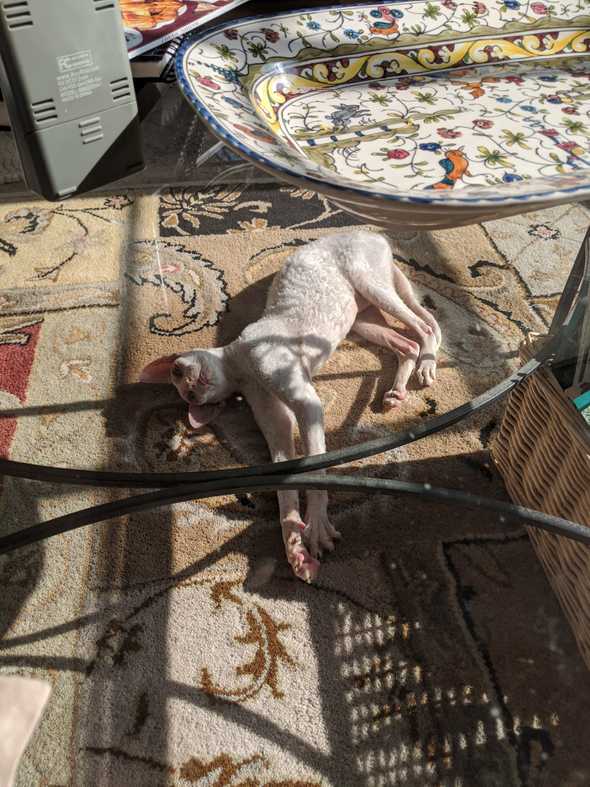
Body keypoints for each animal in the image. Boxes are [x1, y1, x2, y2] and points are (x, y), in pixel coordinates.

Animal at [141, 231, 442, 580]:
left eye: (177, 372)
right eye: (189, 399)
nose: (192, 392)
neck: (242, 369)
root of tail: (368, 233)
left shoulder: (307, 403)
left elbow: (314, 470)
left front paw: (316, 527)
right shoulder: (278, 424)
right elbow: (286, 484)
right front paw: (295, 548)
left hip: (370, 283)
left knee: (425, 328)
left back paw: (427, 365)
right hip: (361, 319)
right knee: (406, 345)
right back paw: (396, 390)